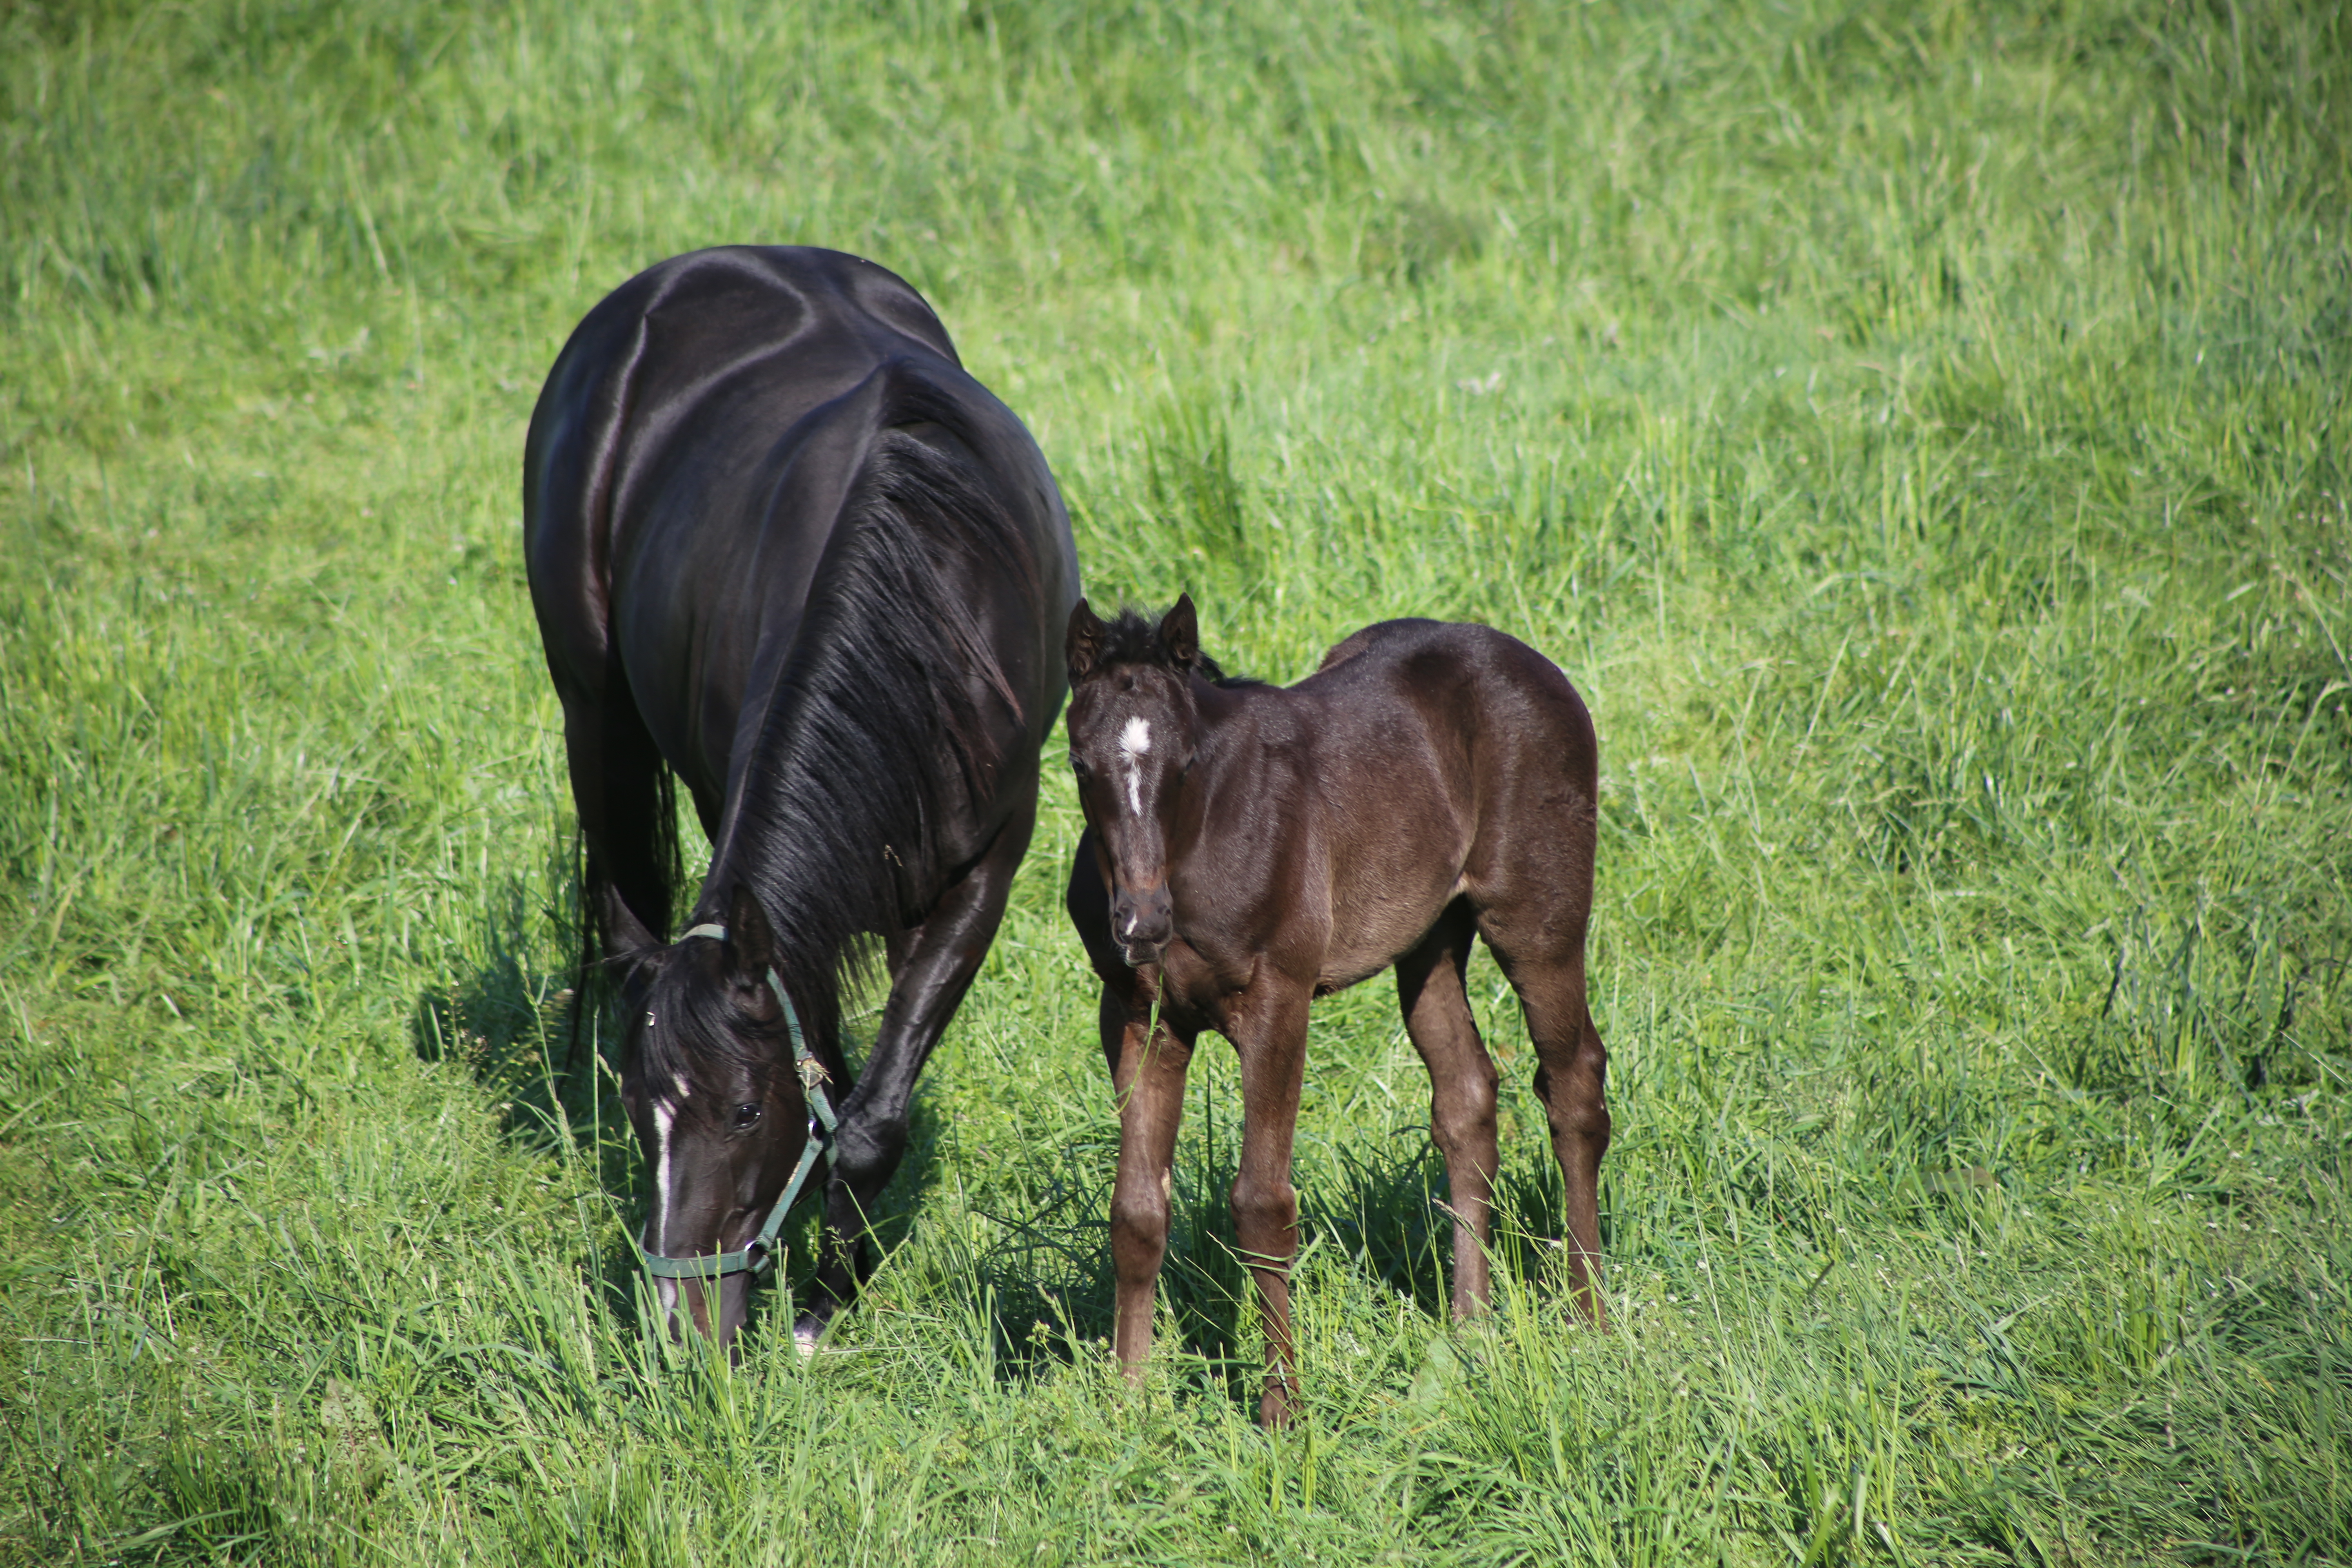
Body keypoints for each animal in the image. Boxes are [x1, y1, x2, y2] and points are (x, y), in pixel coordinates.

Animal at [522, 245, 1077, 1354]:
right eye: (641, 1108)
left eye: (743, 1112)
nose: (682, 1328)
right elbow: (821, 1042)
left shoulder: (984, 863)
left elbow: (870, 1110)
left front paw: (825, 1301)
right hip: (595, 711)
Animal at [1063, 595, 1599, 1429]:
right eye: (1080, 766)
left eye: (1186, 764)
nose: (1141, 924)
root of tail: (1527, 659)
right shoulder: (1137, 1019)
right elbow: (1137, 1213)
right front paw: (1131, 1404)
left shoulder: (1278, 1001)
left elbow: (1261, 1206)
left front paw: (1282, 1410)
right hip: (1428, 939)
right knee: (1467, 1099)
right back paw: (1469, 1329)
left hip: (1537, 921)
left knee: (1573, 1084)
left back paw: (1588, 1319)